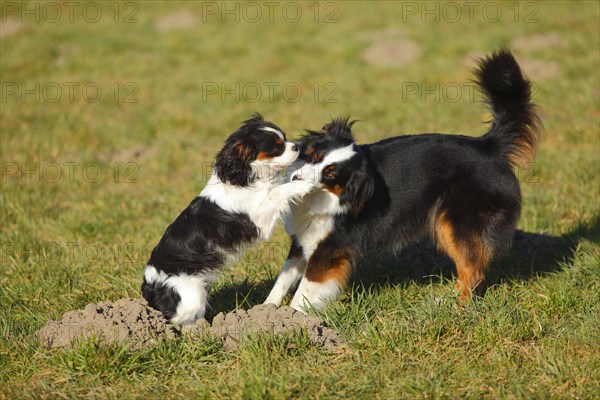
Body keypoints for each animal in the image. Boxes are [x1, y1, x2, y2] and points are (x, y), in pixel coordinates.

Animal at [142, 113, 312, 324]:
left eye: (286, 138)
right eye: (277, 147)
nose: (296, 146)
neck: (245, 177)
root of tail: (149, 285)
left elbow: (278, 185)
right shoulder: (259, 216)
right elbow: (278, 191)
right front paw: (304, 184)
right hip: (190, 295)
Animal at [264, 50, 540, 310]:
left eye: (331, 173)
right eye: (315, 157)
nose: (296, 178)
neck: (325, 196)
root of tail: (489, 146)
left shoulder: (329, 249)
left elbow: (305, 290)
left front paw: (293, 318)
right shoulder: (303, 240)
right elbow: (282, 281)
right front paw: (265, 313)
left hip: (455, 221)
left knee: (473, 270)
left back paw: (457, 307)